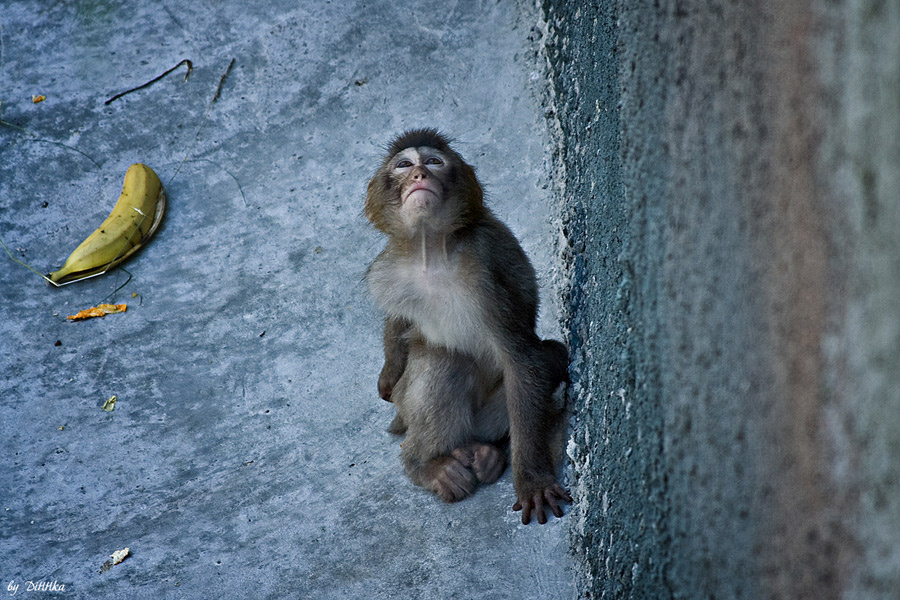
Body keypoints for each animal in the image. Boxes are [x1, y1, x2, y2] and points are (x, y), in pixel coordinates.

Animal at [364, 128, 571, 524]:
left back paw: (487, 453)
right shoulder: (389, 268)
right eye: (403, 165)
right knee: (442, 361)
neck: (431, 250)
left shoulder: (484, 273)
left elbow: (523, 360)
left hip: (485, 419)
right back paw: (425, 464)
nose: (419, 176)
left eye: (433, 162)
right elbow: (399, 321)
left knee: (551, 356)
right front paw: (389, 373)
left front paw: (532, 479)